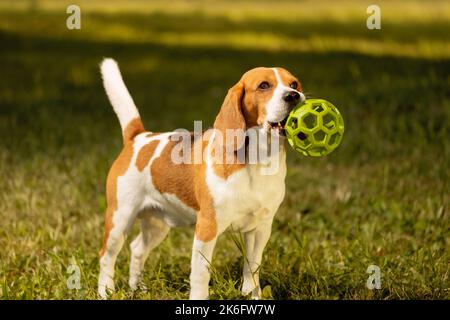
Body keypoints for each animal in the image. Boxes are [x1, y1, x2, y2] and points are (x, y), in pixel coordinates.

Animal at [98, 58, 306, 300]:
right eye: (264, 85)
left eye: (294, 83)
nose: (293, 96)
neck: (258, 160)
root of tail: (139, 137)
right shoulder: (207, 228)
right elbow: (200, 275)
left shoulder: (260, 229)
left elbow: (252, 270)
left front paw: (252, 296)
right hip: (119, 219)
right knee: (106, 256)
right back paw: (105, 291)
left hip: (156, 224)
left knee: (137, 249)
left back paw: (137, 287)